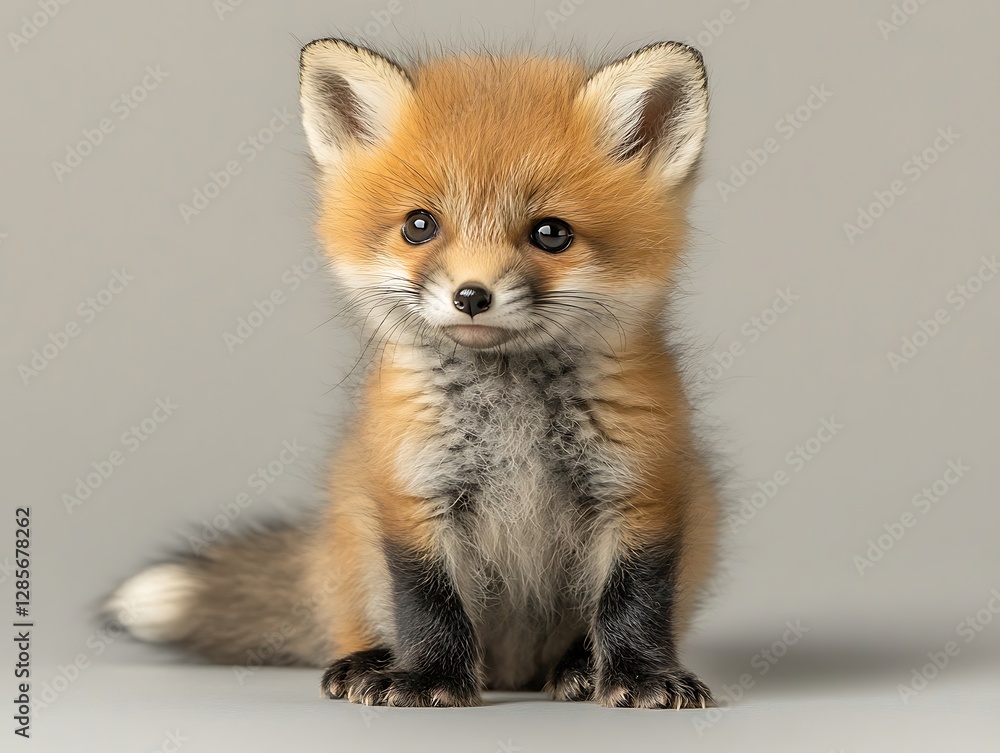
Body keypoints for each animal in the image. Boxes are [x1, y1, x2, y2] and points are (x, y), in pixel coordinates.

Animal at [107, 38, 721, 709]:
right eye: (419, 225)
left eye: (551, 233)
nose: (472, 296)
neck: (511, 414)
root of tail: (509, 672)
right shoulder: (411, 489)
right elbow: (427, 600)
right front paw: (429, 677)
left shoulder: (641, 490)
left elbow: (635, 602)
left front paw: (640, 675)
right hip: (353, 542)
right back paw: (369, 663)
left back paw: (579, 669)